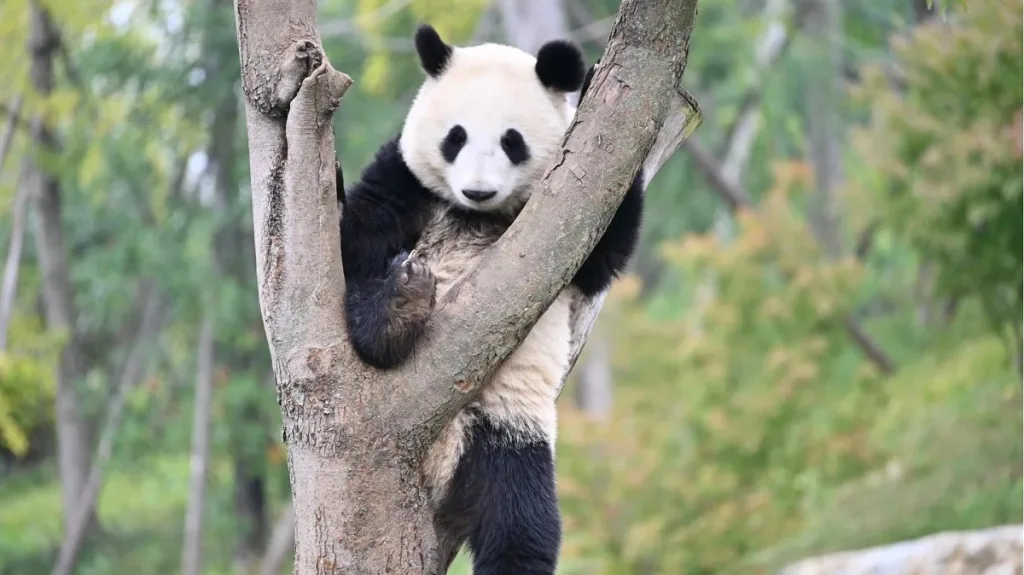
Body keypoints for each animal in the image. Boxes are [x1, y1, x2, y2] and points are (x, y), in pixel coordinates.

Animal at [338, 24, 644, 574]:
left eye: (511, 141)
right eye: (455, 137)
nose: (477, 191)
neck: (479, 216)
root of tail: (440, 464)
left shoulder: (573, 224)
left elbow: (606, 250)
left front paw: (596, 86)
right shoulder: (407, 174)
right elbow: (364, 228)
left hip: (505, 432)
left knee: (520, 520)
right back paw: (397, 312)